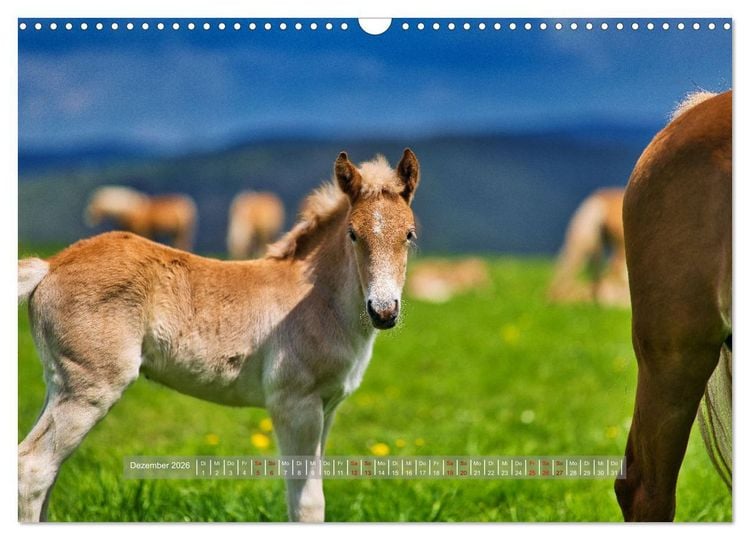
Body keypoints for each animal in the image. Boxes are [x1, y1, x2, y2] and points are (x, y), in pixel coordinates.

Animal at [18, 149, 421, 522]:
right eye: (353, 234)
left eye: (409, 235)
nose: (384, 311)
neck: (317, 299)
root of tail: (50, 265)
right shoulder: (296, 404)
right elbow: (307, 503)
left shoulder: (328, 406)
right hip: (90, 388)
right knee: (34, 469)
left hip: (60, 383)